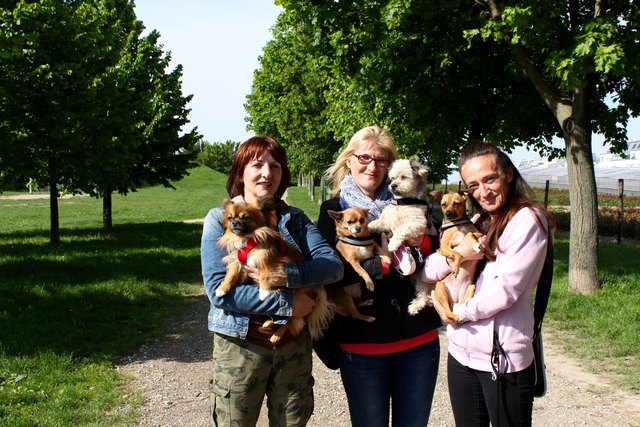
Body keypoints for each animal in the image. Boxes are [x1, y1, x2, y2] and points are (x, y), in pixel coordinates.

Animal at [436, 192, 484, 322]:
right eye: (443, 205)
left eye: (456, 203)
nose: (447, 213)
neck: (458, 224)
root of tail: (455, 300)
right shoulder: (445, 247)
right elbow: (457, 253)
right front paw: (455, 268)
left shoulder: (476, 234)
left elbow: (470, 233)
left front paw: (476, 245)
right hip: (440, 288)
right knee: (447, 312)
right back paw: (456, 317)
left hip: (471, 288)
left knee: (461, 307)